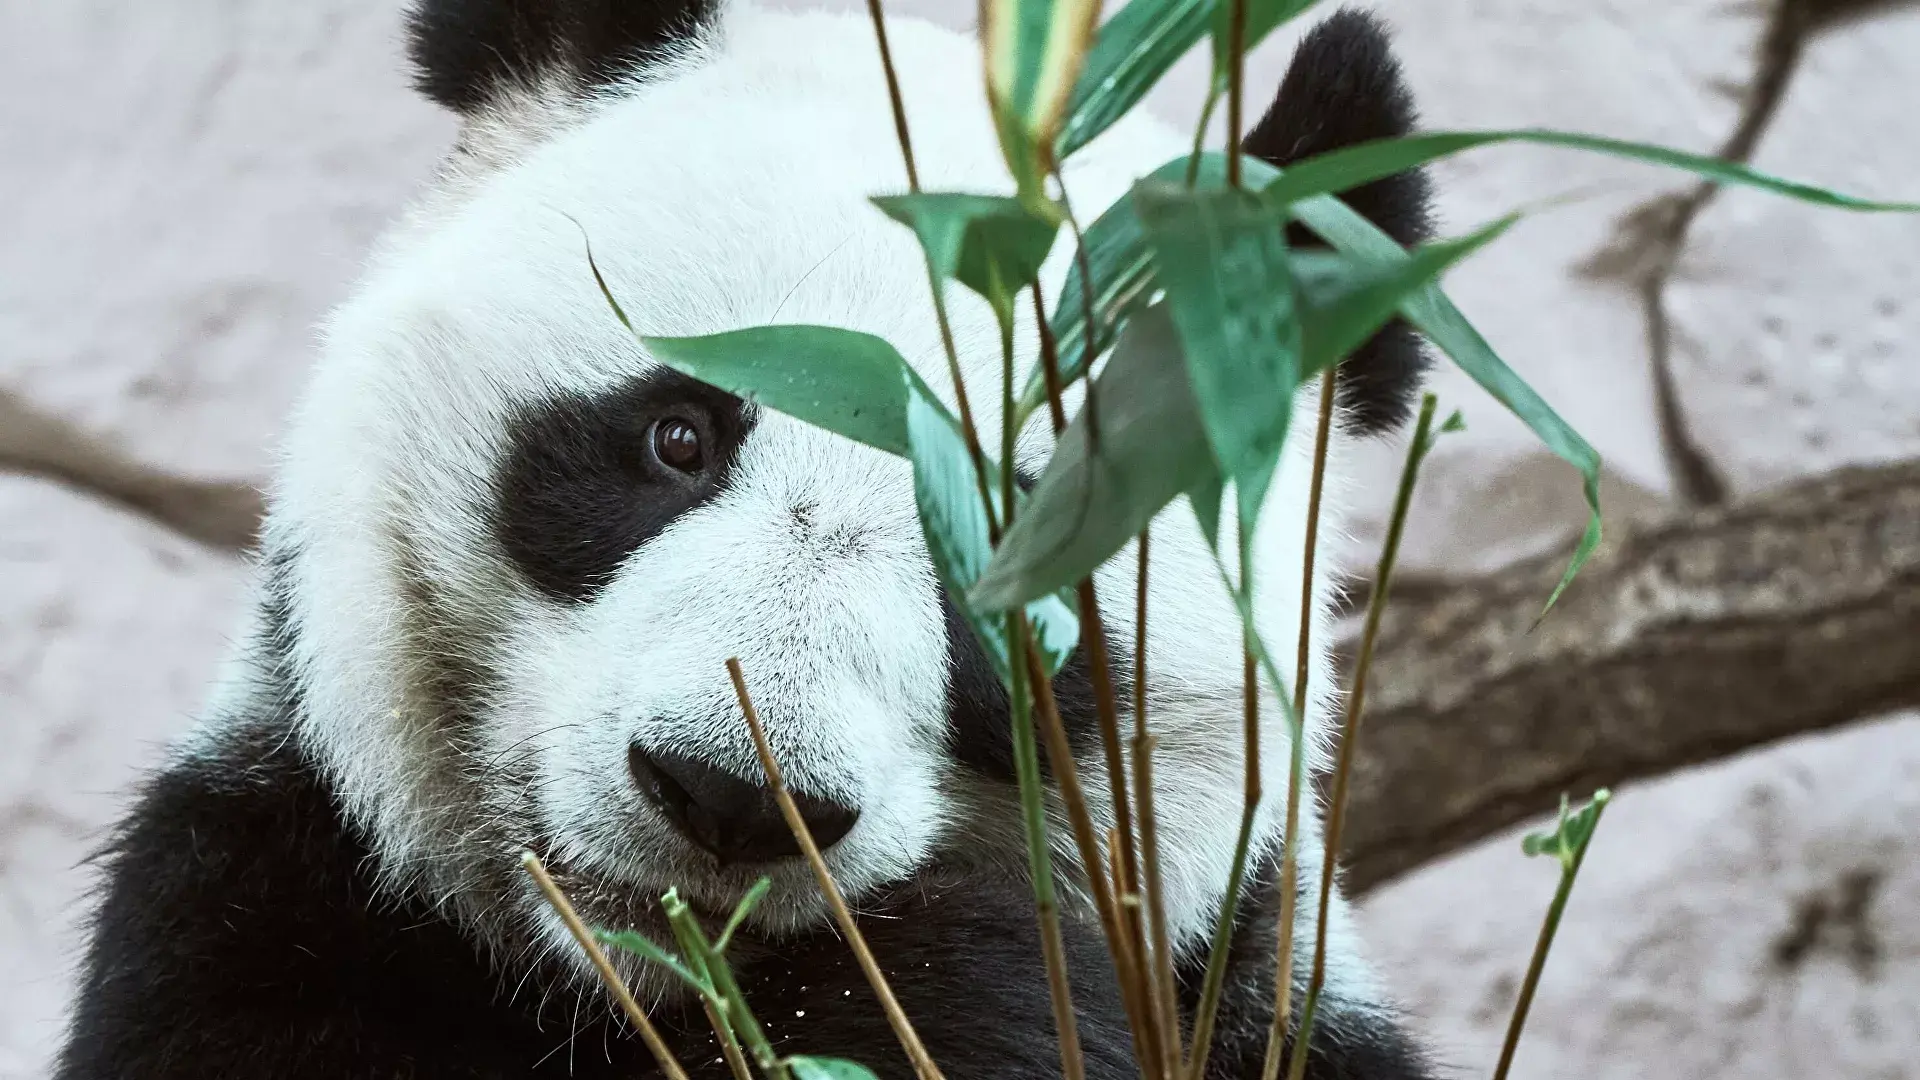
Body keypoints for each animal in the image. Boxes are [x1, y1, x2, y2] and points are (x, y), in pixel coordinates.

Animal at [56, 2, 1443, 1076]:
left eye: (1019, 542)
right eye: (679, 434)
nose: (726, 796)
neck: (646, 995)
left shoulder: (1268, 1000)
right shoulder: (275, 901)